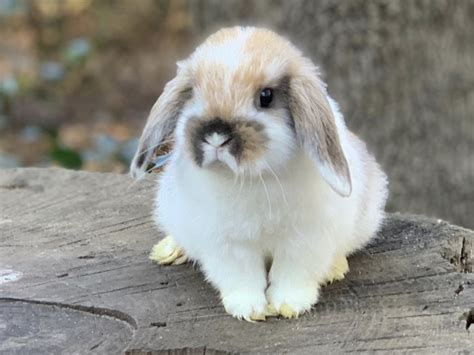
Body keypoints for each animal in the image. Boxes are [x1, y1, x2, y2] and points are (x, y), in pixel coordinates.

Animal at [131, 27, 388, 322]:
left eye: (266, 96)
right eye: (194, 92)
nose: (216, 135)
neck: (252, 178)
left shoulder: (304, 239)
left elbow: (292, 274)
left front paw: (288, 306)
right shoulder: (228, 244)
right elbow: (242, 277)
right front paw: (249, 310)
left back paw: (335, 268)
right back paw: (169, 251)